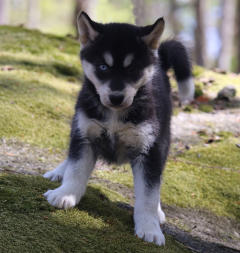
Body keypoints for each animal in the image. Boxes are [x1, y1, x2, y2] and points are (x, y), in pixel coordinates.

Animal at [42, 11, 193, 245]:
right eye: (103, 67)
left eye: (132, 68)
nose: (116, 97)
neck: (114, 115)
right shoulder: (84, 134)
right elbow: (76, 169)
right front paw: (65, 194)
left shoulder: (149, 150)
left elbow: (149, 194)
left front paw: (149, 227)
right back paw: (59, 171)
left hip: (163, 138)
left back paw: (158, 212)